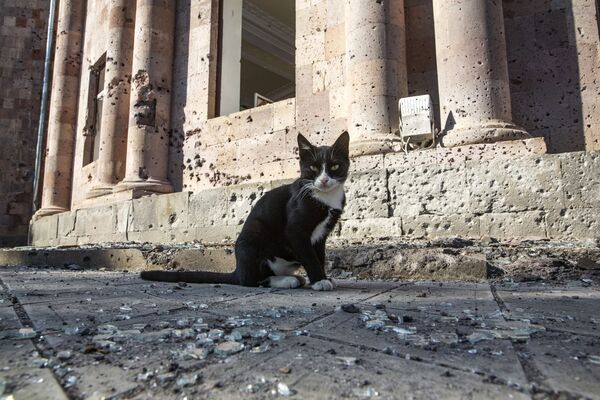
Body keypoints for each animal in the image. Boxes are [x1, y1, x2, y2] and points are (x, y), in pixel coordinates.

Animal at [139, 131, 352, 290]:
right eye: (313, 168)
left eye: (334, 166)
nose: (324, 180)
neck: (324, 197)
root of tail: (237, 269)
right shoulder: (296, 230)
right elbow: (310, 257)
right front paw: (320, 281)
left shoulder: (321, 236)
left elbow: (320, 256)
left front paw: (324, 277)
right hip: (254, 236)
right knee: (251, 280)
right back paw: (287, 280)